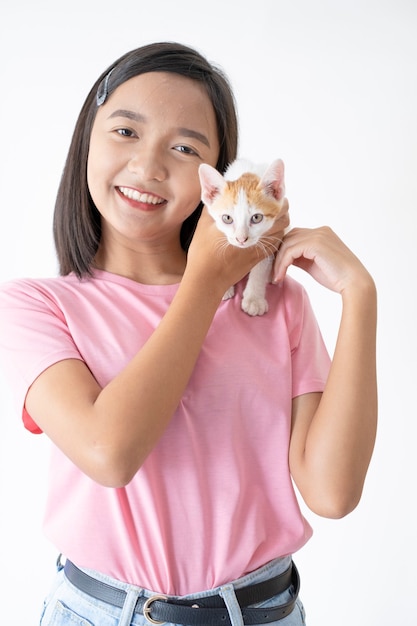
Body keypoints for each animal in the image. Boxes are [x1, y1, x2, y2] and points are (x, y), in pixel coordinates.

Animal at [198, 158, 286, 314]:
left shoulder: (271, 237)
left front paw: (254, 299)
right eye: (227, 218)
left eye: (256, 218)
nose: (241, 239)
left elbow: (262, 264)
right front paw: (223, 287)